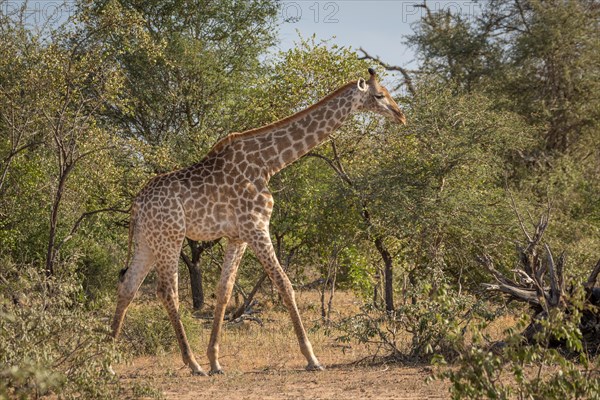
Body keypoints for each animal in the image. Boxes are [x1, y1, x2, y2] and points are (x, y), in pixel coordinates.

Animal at [110, 68, 406, 376]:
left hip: (147, 241)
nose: (401, 115)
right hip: (170, 237)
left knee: (128, 287)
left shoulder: (237, 236)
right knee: (167, 291)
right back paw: (192, 364)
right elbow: (284, 284)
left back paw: (105, 363)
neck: (268, 163)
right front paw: (312, 358)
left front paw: (215, 361)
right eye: (379, 95)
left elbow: (225, 291)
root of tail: (136, 204)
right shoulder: (256, 227)